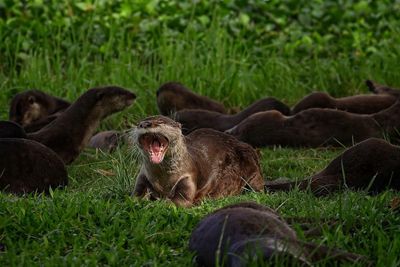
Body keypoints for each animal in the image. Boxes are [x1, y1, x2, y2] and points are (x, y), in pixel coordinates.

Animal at [130, 115, 264, 207]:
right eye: (139, 123)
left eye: (160, 122)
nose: (145, 124)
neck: (164, 182)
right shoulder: (143, 175)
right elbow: (135, 195)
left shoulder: (188, 176)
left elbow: (181, 201)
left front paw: (159, 203)